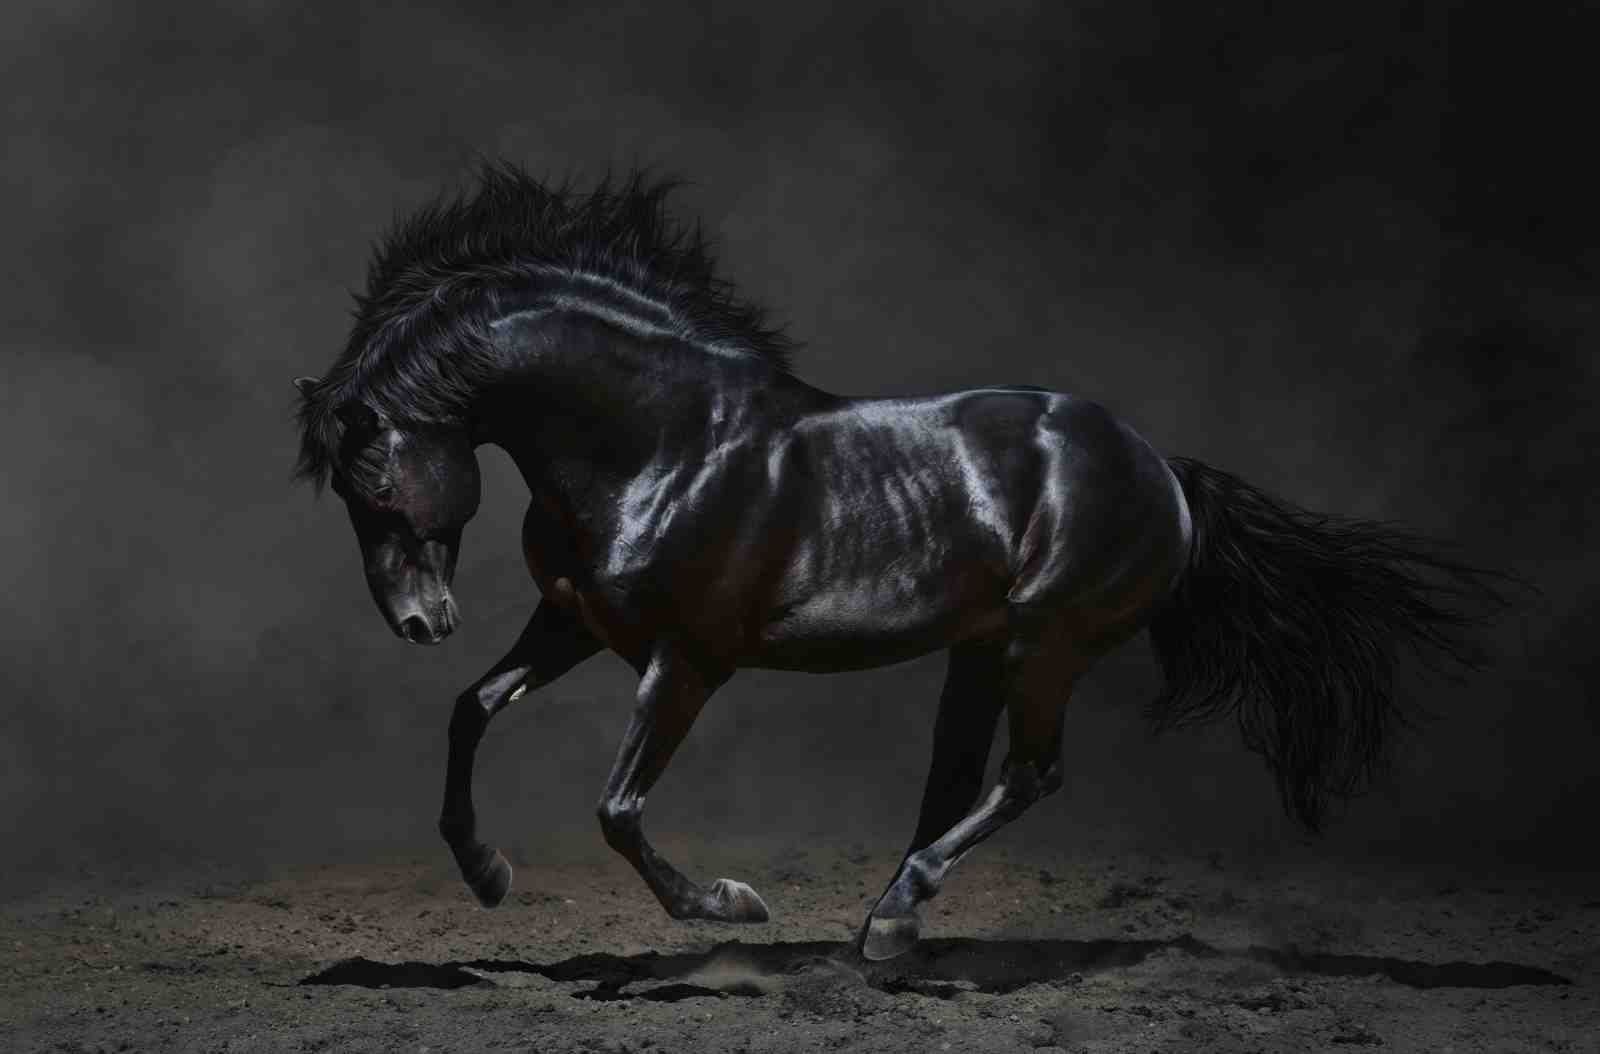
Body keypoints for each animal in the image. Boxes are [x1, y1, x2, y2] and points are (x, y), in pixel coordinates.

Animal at [293, 162, 1509, 961]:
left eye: (376, 483)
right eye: (347, 497)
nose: (419, 621)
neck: (661, 443)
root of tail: (1163, 469)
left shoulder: (686, 660)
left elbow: (619, 808)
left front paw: (729, 905)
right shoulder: (576, 624)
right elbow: (470, 710)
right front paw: (487, 874)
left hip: (1047, 642)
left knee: (1029, 774)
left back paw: (892, 920)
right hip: (982, 649)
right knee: (956, 781)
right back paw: (889, 925)